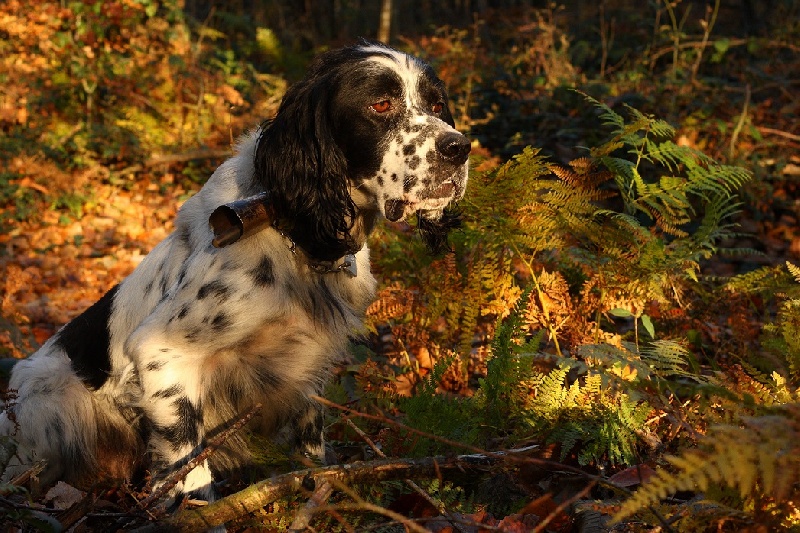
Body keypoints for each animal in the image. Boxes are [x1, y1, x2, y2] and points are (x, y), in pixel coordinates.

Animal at [0, 41, 468, 502]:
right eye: (380, 104)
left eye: (437, 104)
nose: (459, 148)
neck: (299, 238)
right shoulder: (162, 355)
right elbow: (189, 468)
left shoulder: (306, 373)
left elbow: (310, 450)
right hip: (51, 403)